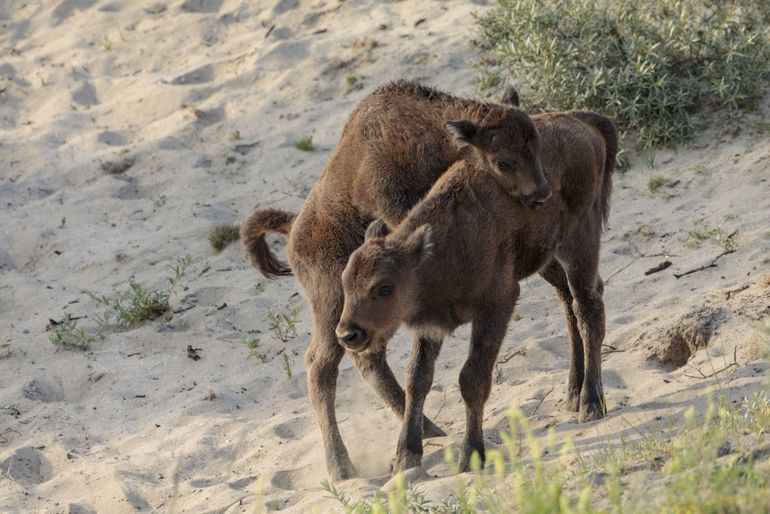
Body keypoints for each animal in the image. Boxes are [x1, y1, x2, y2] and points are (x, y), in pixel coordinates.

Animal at [340, 110, 616, 470]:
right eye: (345, 283)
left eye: (384, 288)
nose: (348, 334)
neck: (433, 252)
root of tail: (584, 122)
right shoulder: (430, 324)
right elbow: (417, 379)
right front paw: (405, 456)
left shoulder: (497, 305)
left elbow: (471, 379)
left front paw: (470, 455)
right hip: (548, 258)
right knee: (570, 302)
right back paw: (572, 392)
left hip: (579, 241)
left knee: (587, 309)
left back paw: (591, 403)